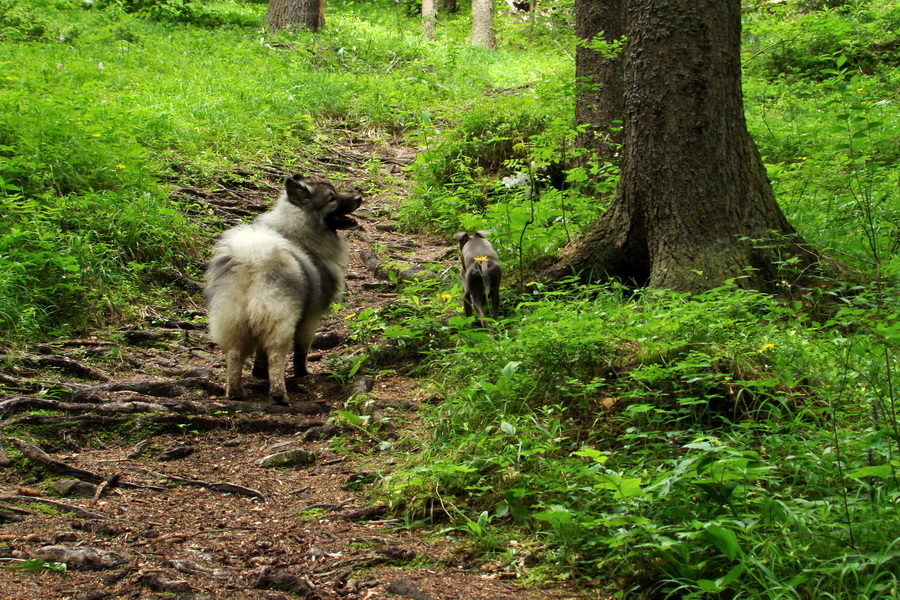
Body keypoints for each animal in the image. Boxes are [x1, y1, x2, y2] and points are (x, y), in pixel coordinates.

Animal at [207, 176, 362, 406]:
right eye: (332, 198)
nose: (358, 197)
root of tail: (253, 262)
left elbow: (260, 354)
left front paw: (259, 373)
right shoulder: (310, 318)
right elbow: (301, 350)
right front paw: (302, 373)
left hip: (233, 320)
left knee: (234, 355)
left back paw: (235, 391)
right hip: (281, 321)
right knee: (277, 357)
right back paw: (280, 394)